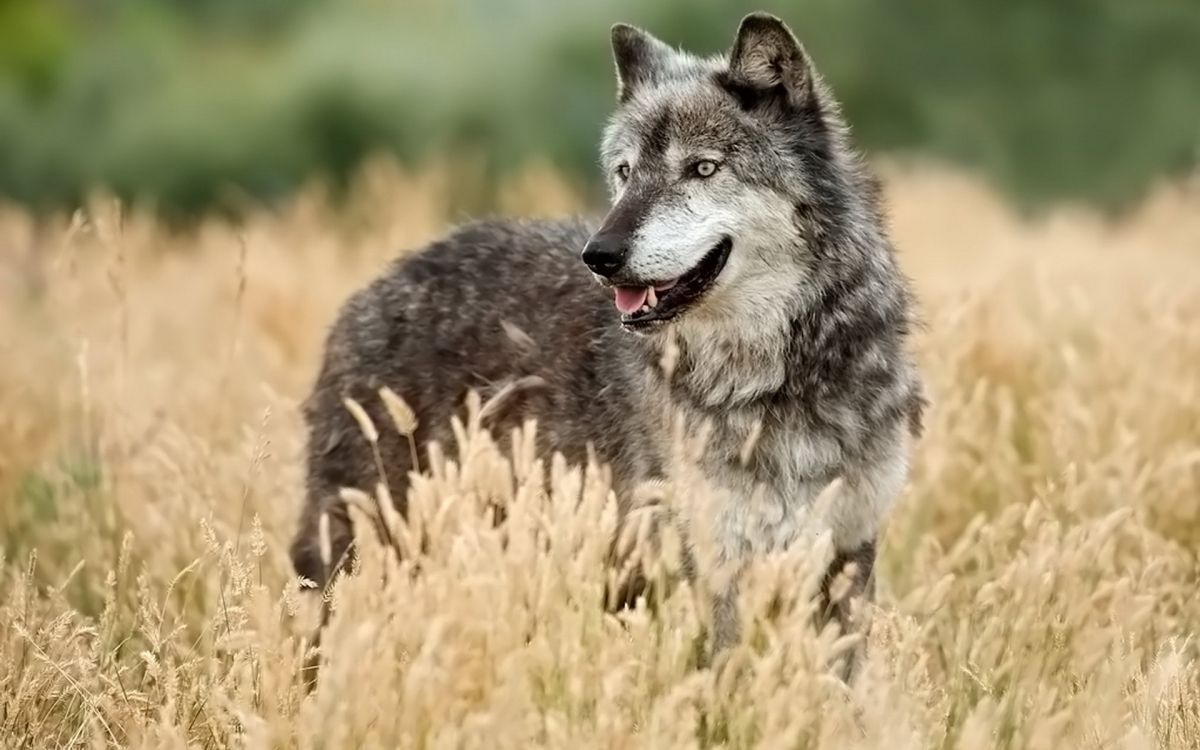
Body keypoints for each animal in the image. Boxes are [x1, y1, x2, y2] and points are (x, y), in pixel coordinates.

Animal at [291, 13, 924, 675]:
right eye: (625, 173)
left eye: (702, 169)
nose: (599, 255)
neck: (773, 376)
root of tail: (372, 290)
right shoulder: (713, 564)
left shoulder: (847, 554)